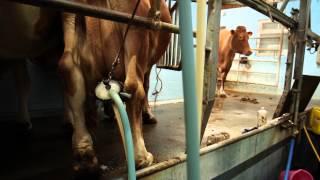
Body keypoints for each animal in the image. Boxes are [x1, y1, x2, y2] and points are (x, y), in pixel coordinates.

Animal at [58, 0, 171, 172]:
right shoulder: (148, 63)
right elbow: (146, 85)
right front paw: (148, 115)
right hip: (134, 30)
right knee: (134, 85)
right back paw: (141, 157)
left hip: (70, 22)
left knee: (68, 69)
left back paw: (84, 154)